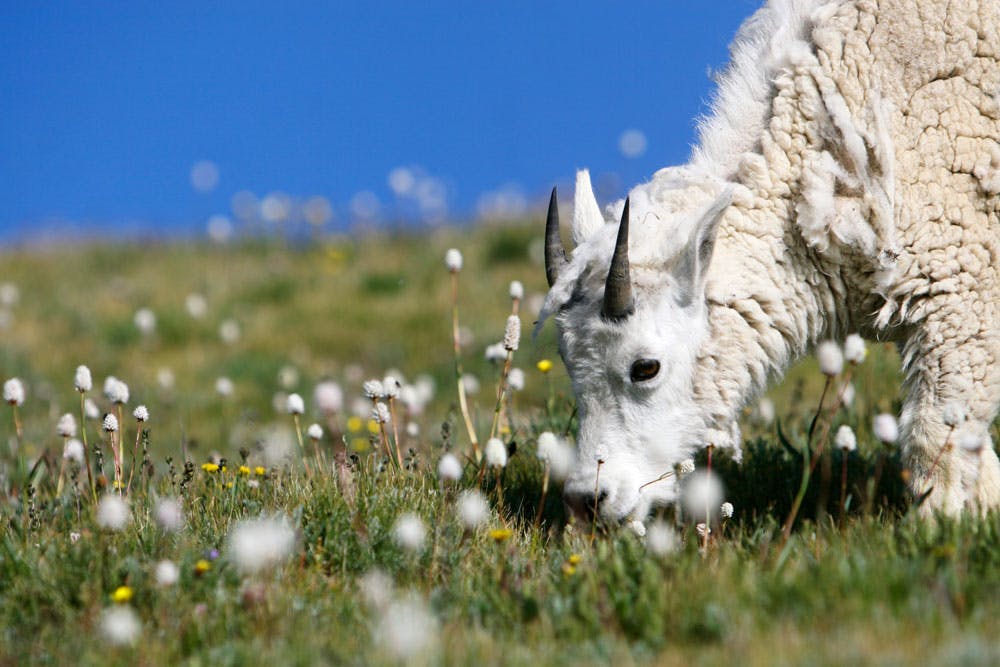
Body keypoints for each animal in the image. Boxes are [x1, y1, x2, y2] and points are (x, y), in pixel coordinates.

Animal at [544, 0, 1000, 520]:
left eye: (645, 367)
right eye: (568, 360)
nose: (588, 499)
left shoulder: (961, 293)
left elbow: (936, 432)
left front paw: (943, 524)